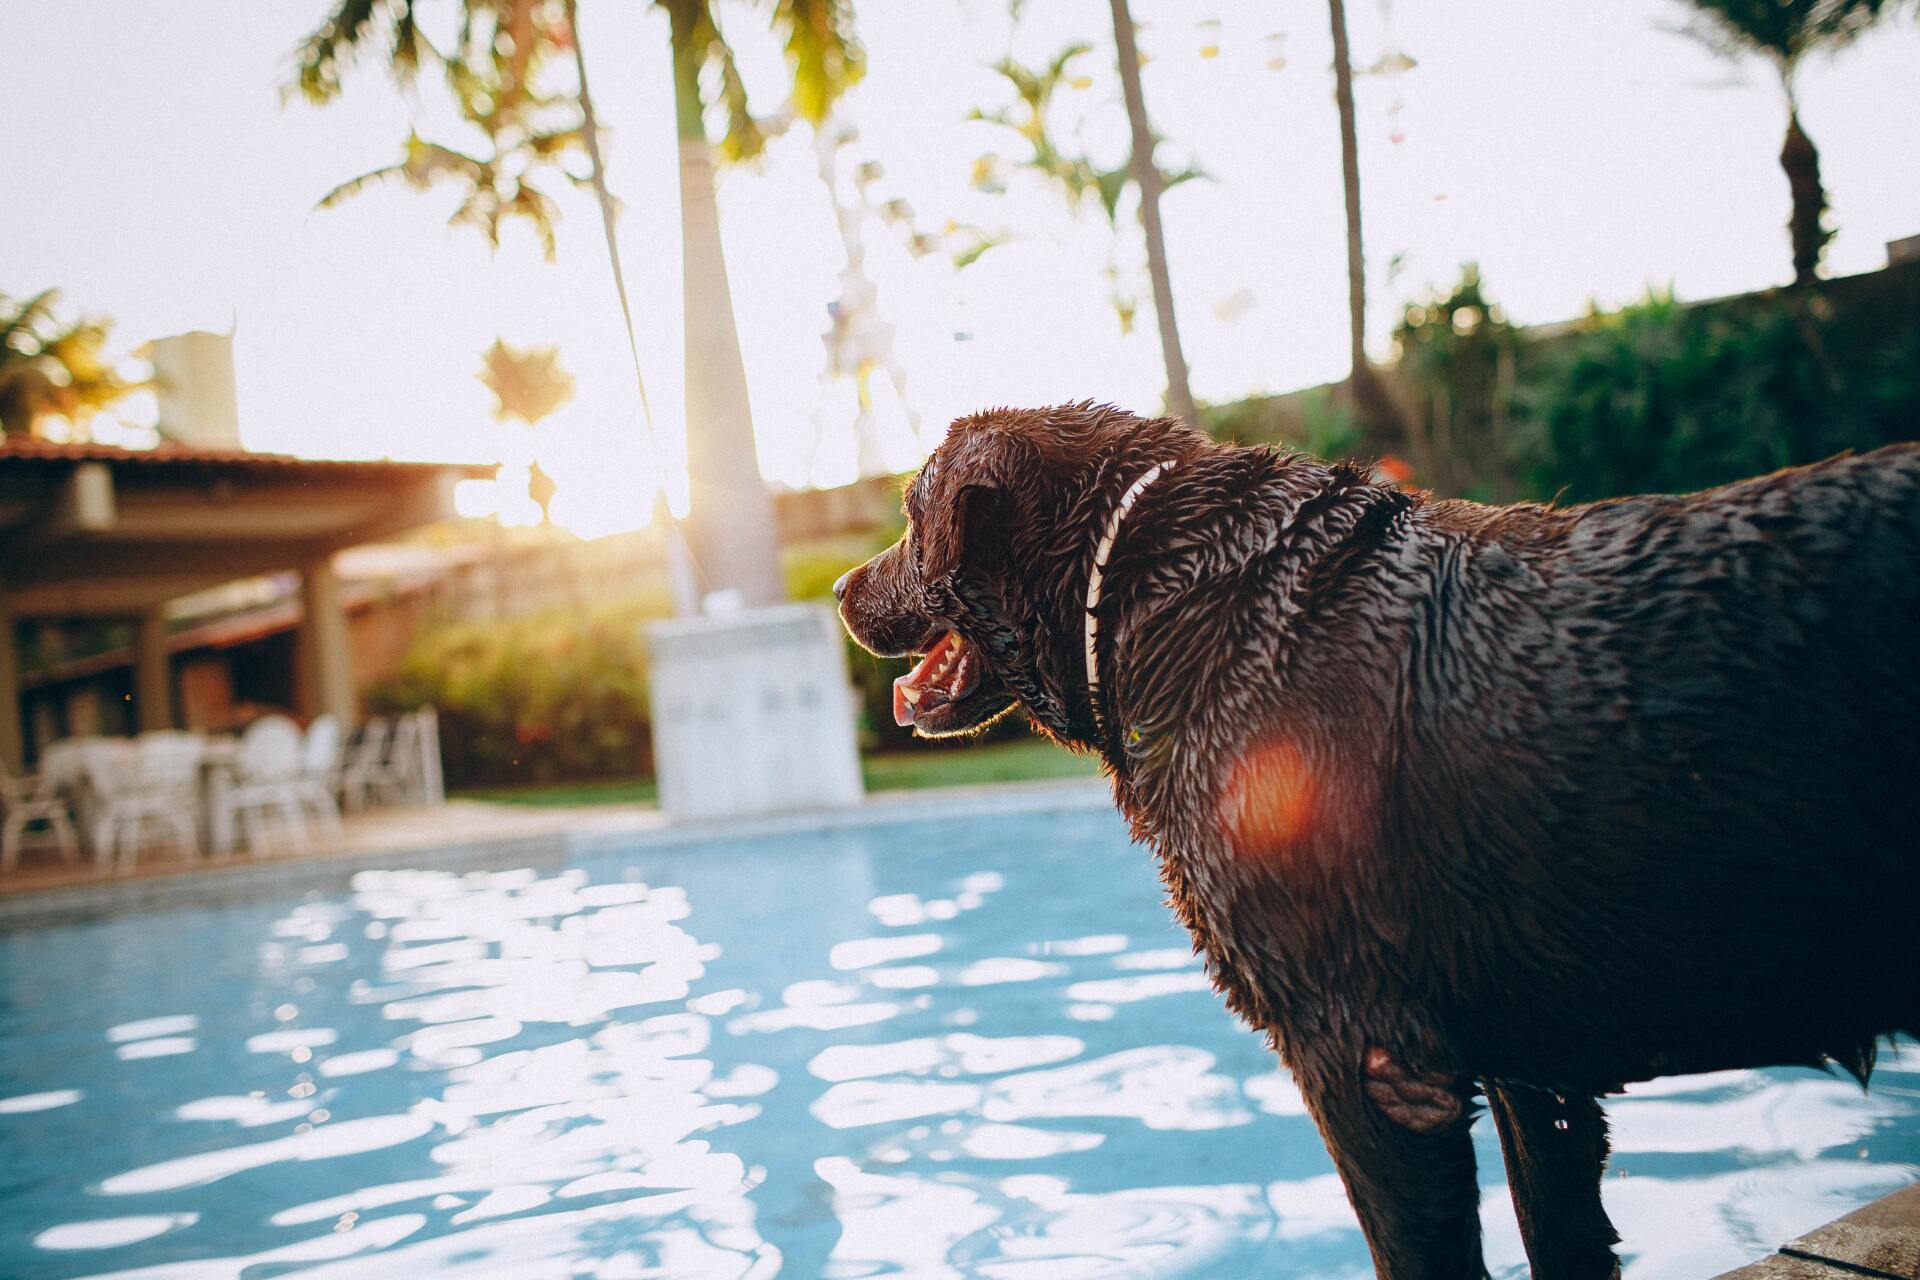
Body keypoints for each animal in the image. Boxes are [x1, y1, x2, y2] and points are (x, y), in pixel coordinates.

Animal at [833, 402, 1920, 1280]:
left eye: (909, 516)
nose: (840, 586)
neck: (1166, 598)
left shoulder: (1363, 1058)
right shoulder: (1536, 1070)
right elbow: (1561, 1233)